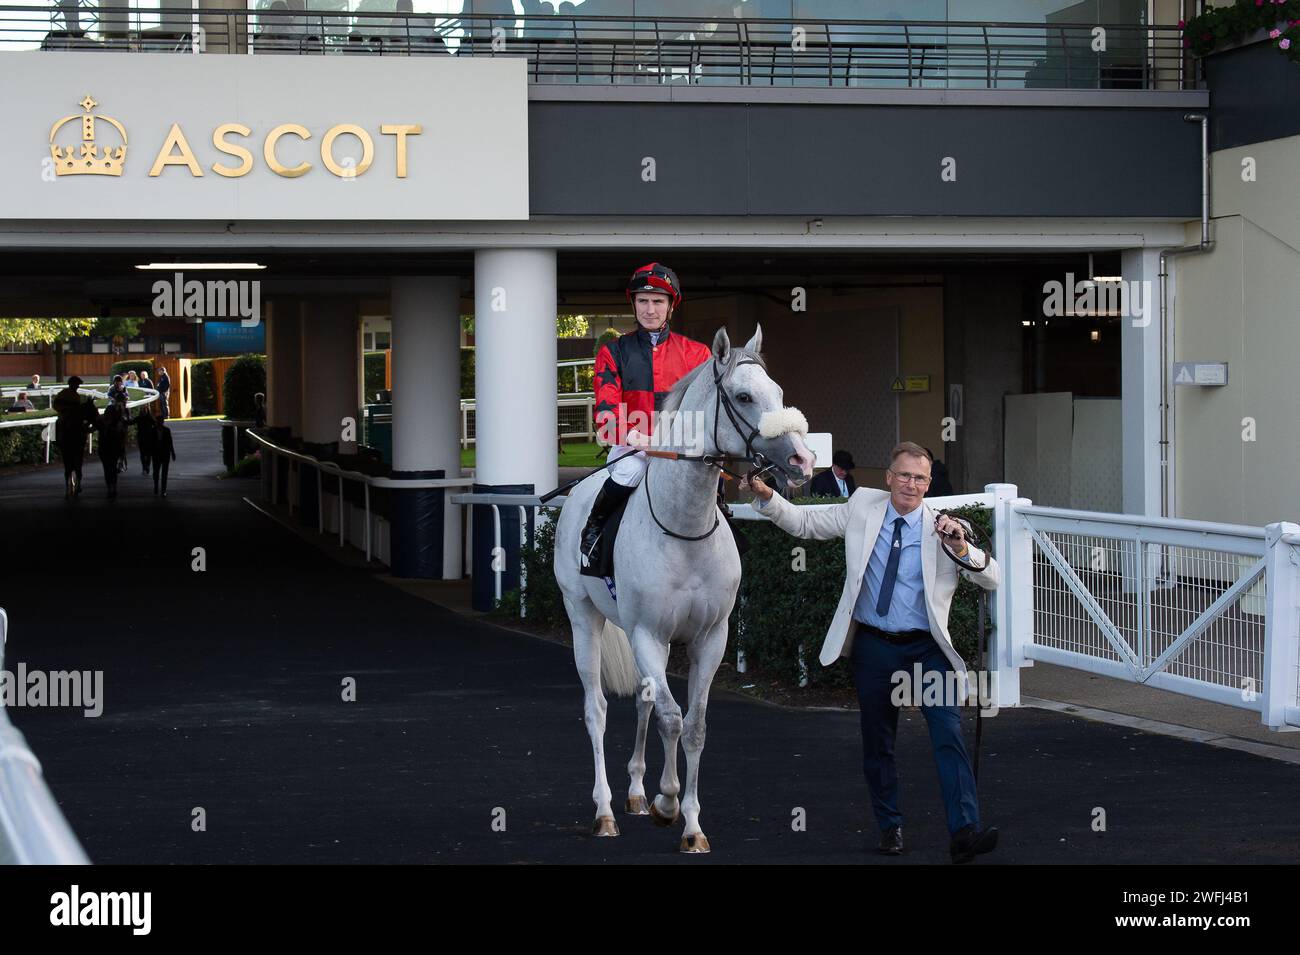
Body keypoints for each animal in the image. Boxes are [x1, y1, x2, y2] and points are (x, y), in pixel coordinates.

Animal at [551, 327, 811, 852]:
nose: (802, 459)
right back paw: (605, 810)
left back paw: (634, 792)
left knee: (645, 701)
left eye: (778, 393)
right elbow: (672, 719)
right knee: (597, 708)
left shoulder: (710, 637)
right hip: (583, 615)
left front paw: (690, 823)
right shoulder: (647, 633)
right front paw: (668, 802)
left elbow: (694, 725)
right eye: (743, 396)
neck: (684, 527)